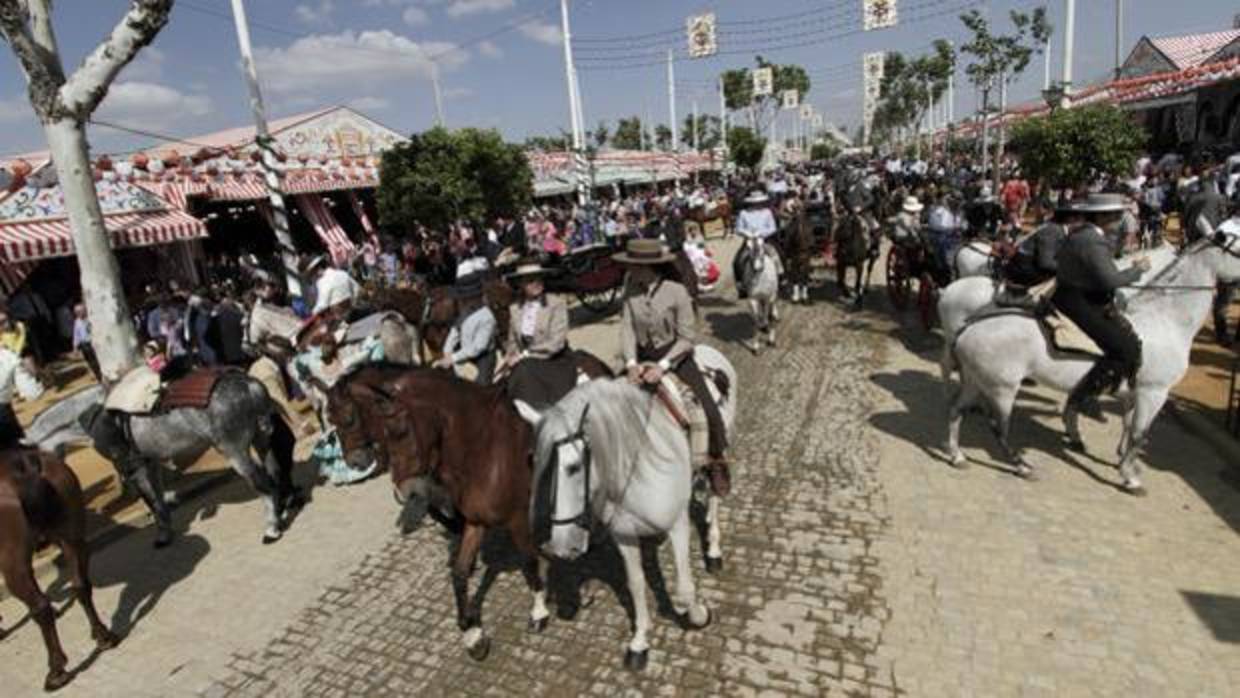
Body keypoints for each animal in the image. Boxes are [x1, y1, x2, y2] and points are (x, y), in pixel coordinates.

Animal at [1, 448, 119, 694]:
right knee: (81, 586)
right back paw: (103, 636)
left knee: (41, 607)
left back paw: (56, 672)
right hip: (73, 540)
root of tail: (25, 465)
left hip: (13, 564)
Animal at [25, 371, 296, 545]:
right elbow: (158, 499)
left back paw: (271, 530)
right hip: (262, 442)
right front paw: (167, 531)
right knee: (275, 474)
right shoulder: (150, 463)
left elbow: (151, 502)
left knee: (264, 484)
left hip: (236, 452)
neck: (89, 413)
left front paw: (163, 536)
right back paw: (282, 513)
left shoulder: (132, 468)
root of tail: (250, 385)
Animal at [319, 369, 548, 664]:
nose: (355, 462)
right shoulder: (475, 520)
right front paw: (472, 635)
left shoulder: (516, 517)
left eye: (349, 418)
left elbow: (528, 560)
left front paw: (539, 612)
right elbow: (458, 573)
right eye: (331, 421)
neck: (483, 449)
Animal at [513, 344, 734, 669]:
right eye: (536, 464)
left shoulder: (677, 523)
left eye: (574, 467)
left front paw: (699, 615)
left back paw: (715, 551)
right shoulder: (625, 534)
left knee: (715, 494)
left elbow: (683, 589)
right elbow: (636, 585)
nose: (559, 547)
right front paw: (640, 641)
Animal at [942, 231, 1240, 493]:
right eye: (1238, 249)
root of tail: (969, 328)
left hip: (976, 379)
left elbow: (1127, 426)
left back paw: (957, 456)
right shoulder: (1154, 392)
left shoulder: (1133, 393)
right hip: (1003, 388)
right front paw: (1130, 478)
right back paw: (1022, 466)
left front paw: (1121, 461)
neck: (1165, 321)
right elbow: (1138, 433)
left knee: (956, 410)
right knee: (999, 428)